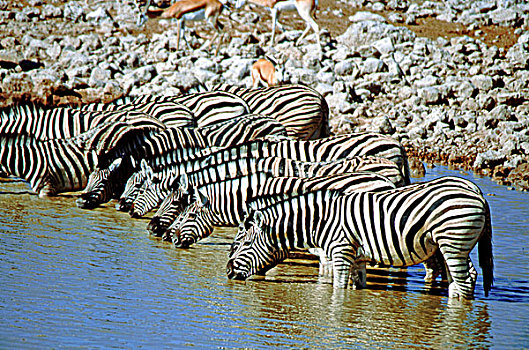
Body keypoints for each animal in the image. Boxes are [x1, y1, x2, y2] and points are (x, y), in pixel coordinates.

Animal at [226, 176, 490, 300]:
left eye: (245, 244)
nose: (227, 272)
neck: (319, 220)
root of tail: (476, 191)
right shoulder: (358, 256)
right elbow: (357, 286)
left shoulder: (341, 252)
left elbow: (339, 288)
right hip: (449, 246)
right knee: (462, 279)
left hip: (453, 243)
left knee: (465, 279)